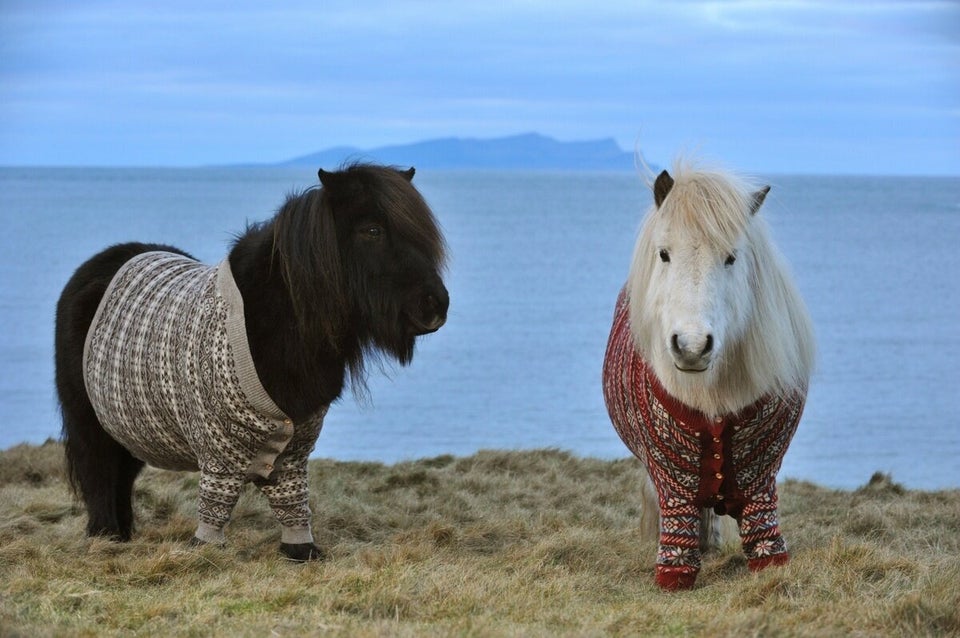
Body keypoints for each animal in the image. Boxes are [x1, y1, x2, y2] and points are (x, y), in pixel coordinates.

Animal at [604, 158, 812, 592]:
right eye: (664, 254)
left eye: (731, 257)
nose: (692, 346)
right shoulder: (673, 482)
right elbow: (676, 532)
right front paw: (676, 570)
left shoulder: (760, 481)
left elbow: (764, 536)